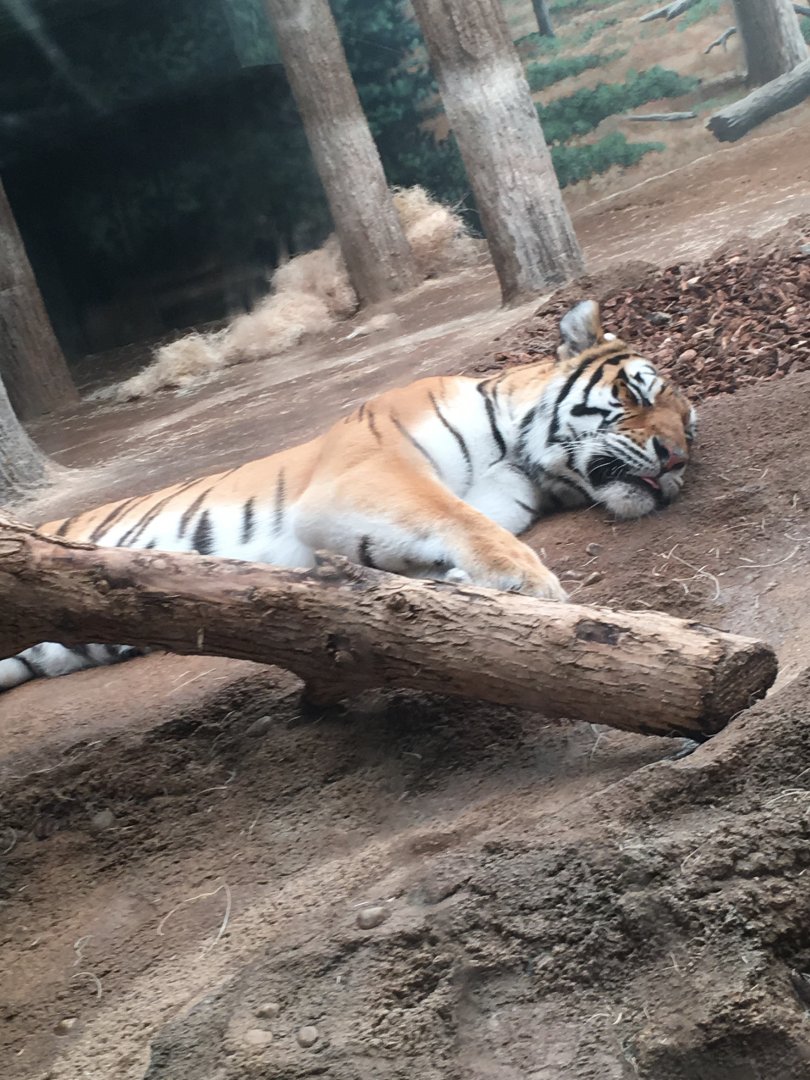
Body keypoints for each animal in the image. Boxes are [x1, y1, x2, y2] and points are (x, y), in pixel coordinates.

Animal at [0, 299, 695, 691]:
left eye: (688, 427)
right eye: (635, 394)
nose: (677, 460)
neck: (521, 454)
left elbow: (439, 542)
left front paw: (454, 587)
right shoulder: (364, 473)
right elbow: (453, 515)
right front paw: (530, 585)